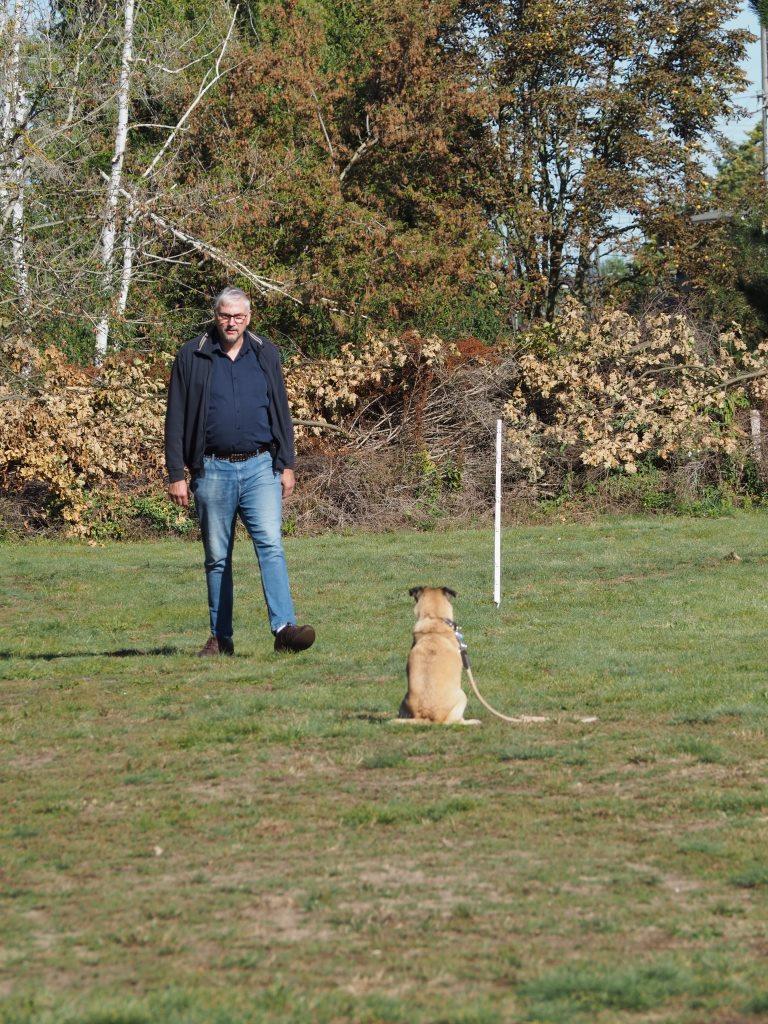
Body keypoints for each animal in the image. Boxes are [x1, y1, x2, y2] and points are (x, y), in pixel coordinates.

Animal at [393, 586, 480, 725]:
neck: (434, 619)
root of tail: (426, 717)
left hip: (404, 700)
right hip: (462, 697)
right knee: (455, 722)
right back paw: (472, 721)